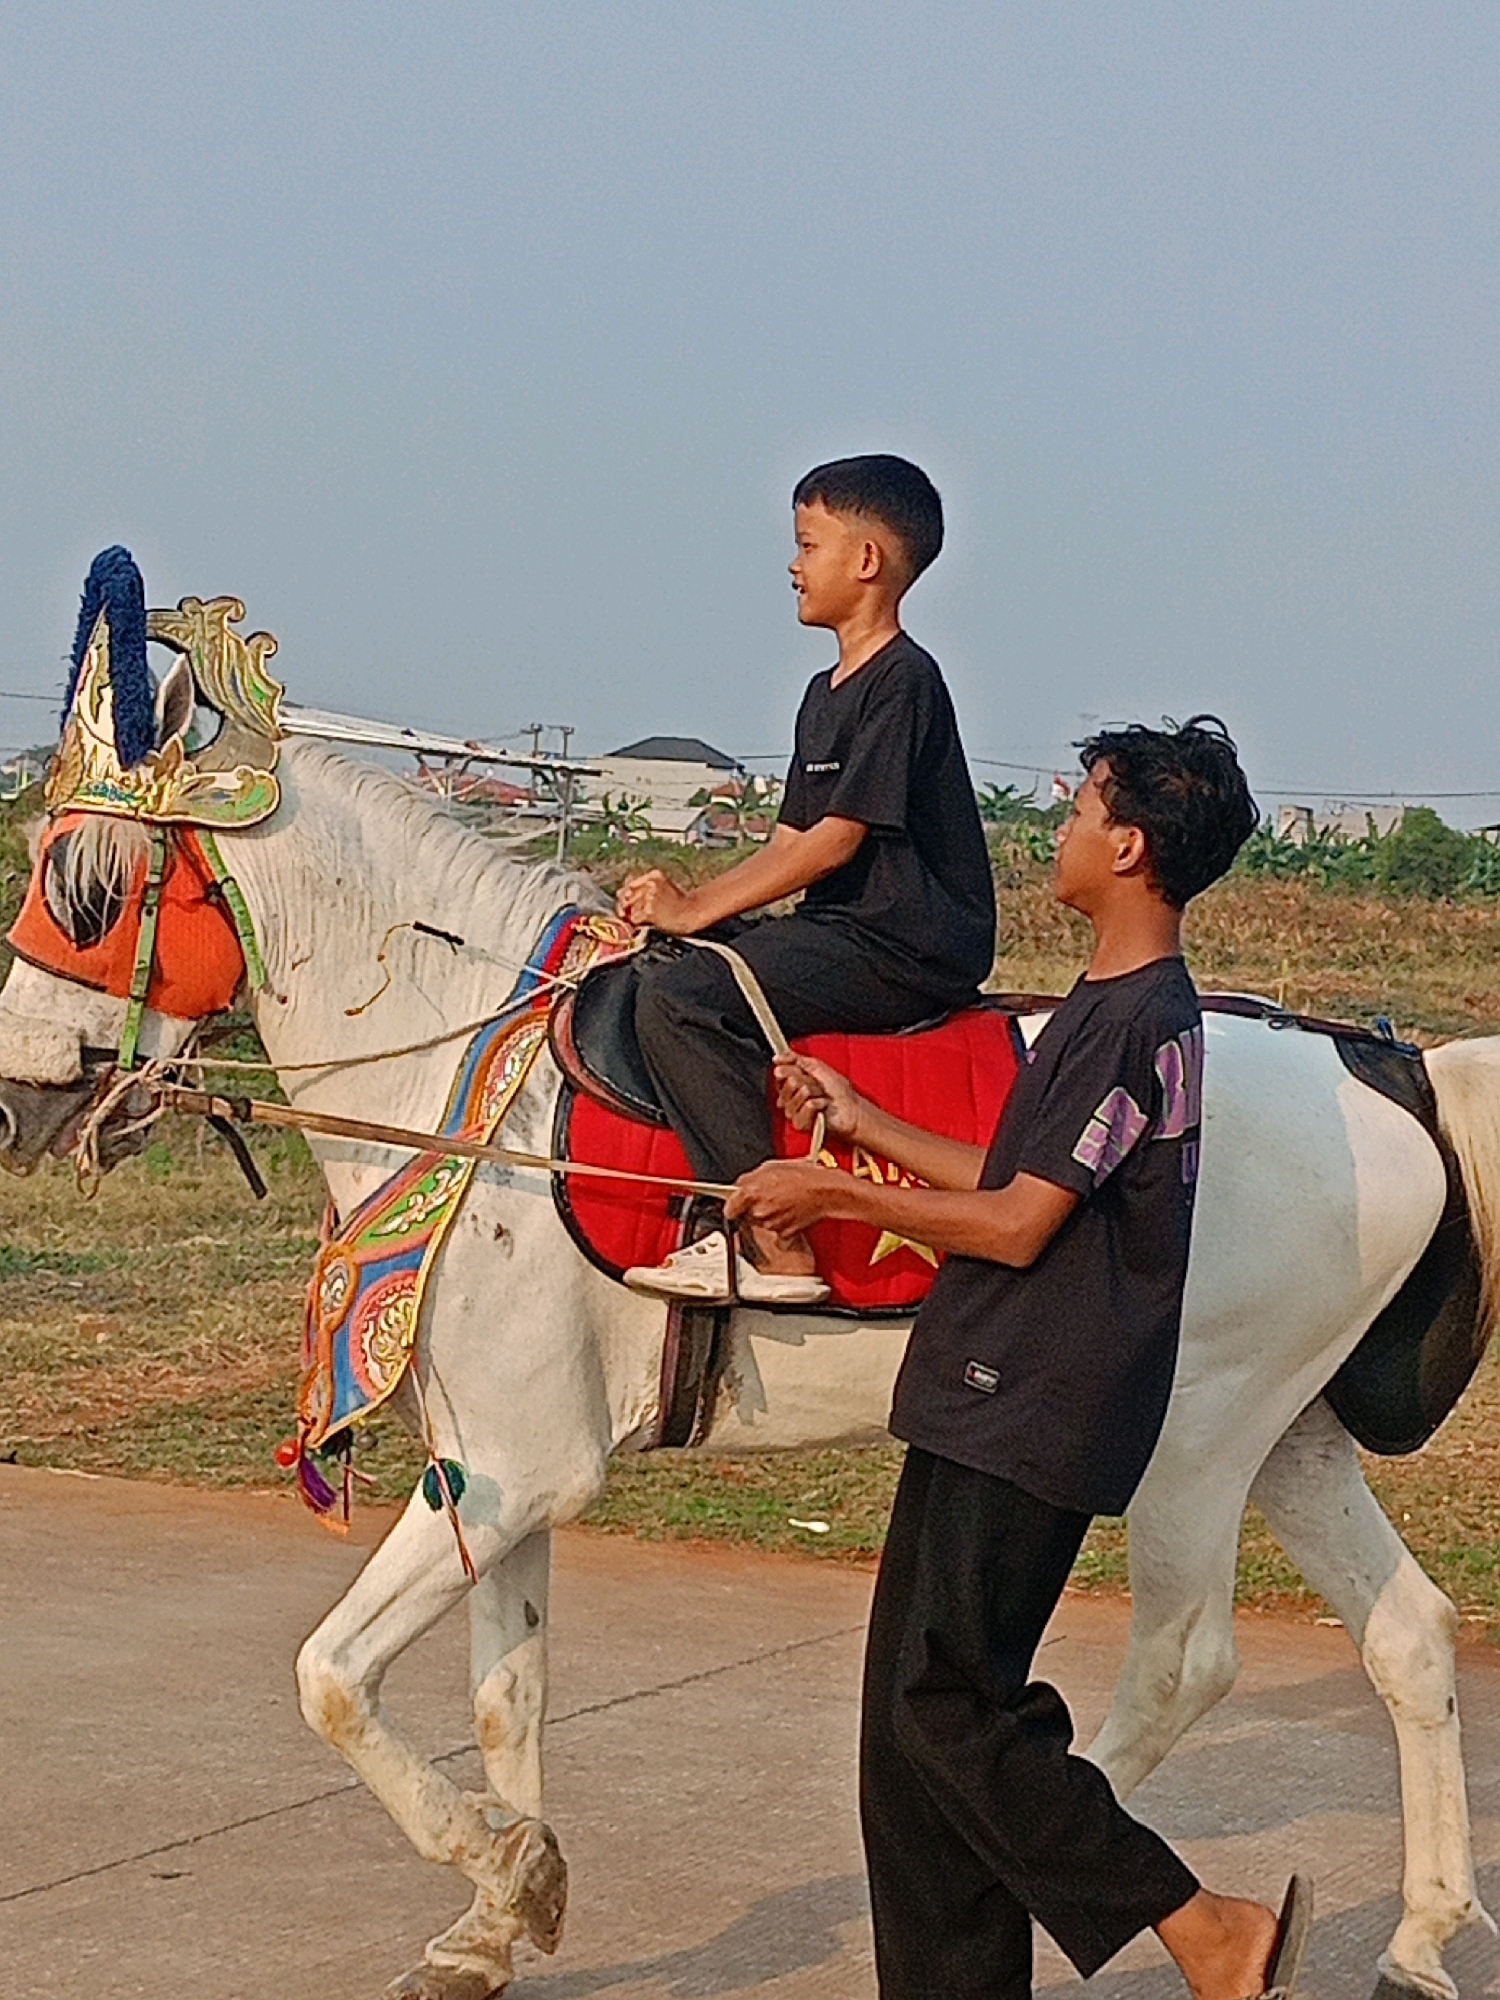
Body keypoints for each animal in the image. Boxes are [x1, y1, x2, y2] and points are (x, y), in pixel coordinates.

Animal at [2, 732, 1497, 2000]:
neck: (475, 1082)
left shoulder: (517, 1474)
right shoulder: (494, 1474)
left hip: (1196, 1439)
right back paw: (1420, 1936)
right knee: (1410, 1635)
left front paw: (502, 1870)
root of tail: (1393, 1073)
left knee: (1180, 1665)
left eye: (88, 887)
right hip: (1289, 1433)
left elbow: (329, 1677)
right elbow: (503, 1699)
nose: (17, 1097)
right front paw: (502, 1910)